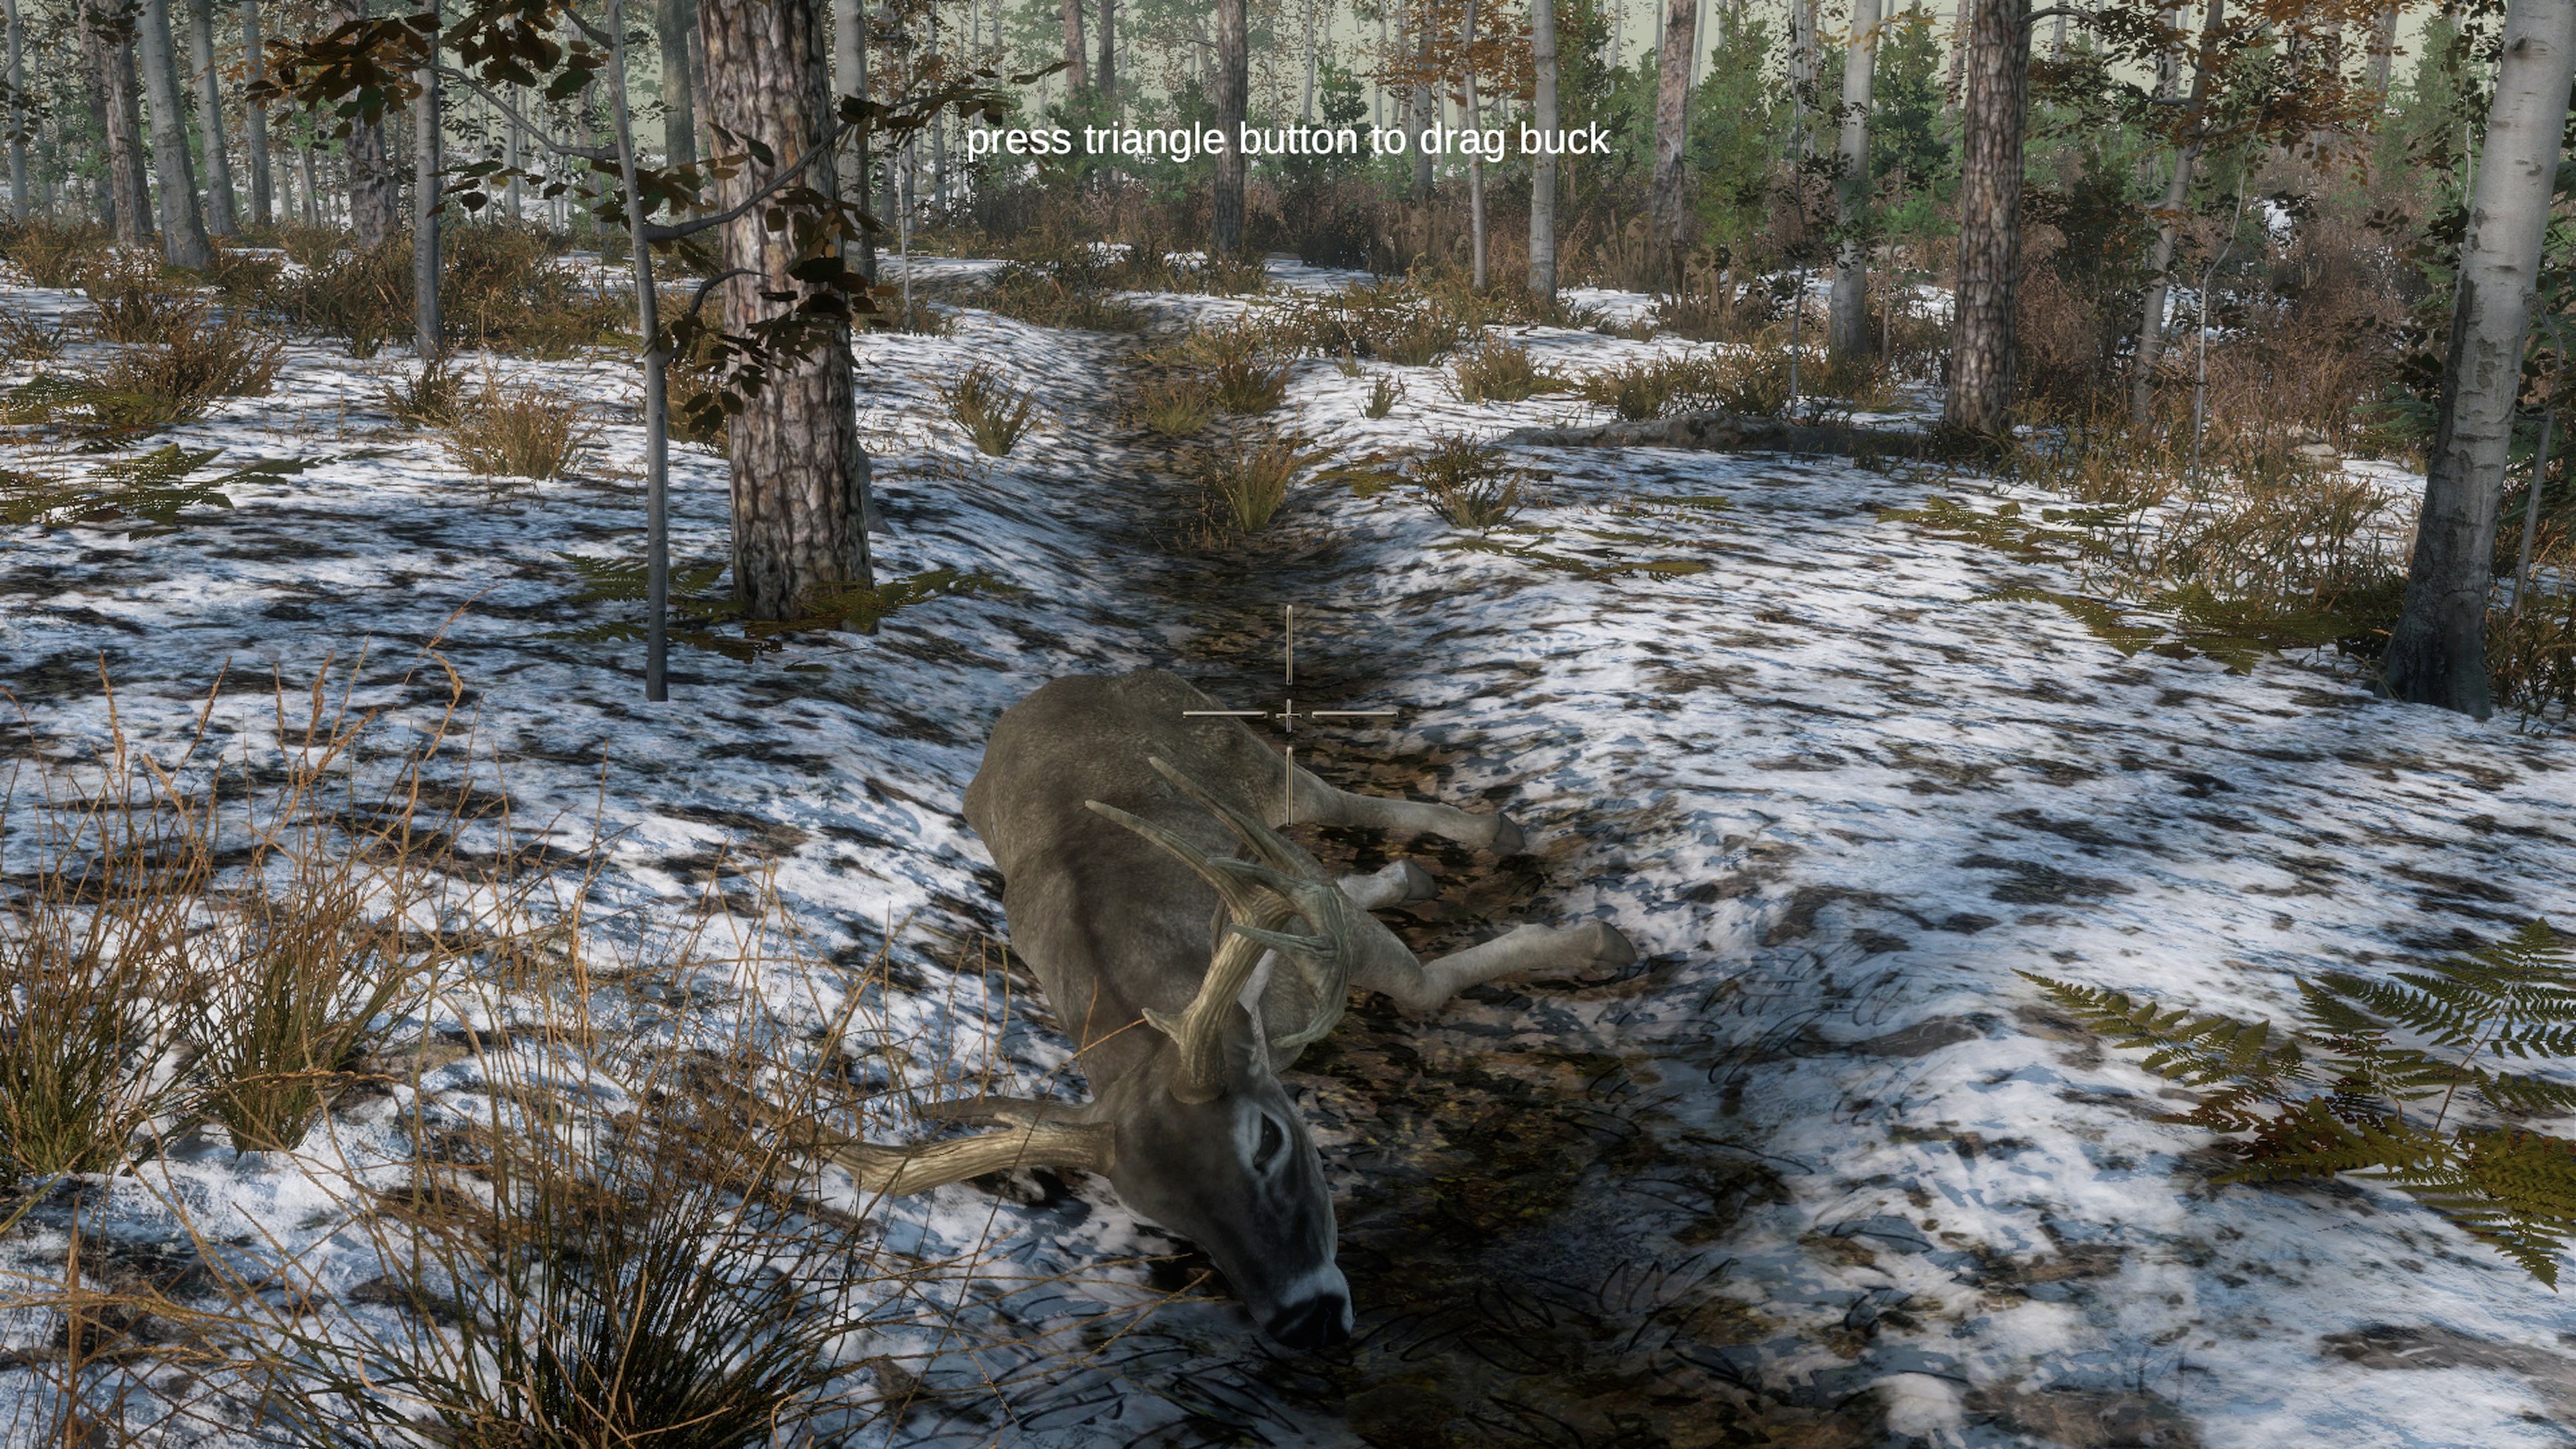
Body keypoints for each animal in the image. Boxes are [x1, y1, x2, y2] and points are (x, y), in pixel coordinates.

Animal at [801, 669, 1636, 1349]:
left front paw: (1600, 940)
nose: (1305, 1323)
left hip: (1240, 751)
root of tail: (1064, 685)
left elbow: (1421, 986)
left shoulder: (1320, 942)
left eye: (1267, 1140)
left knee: (1330, 801)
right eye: (1166, 1217)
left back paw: (1495, 834)